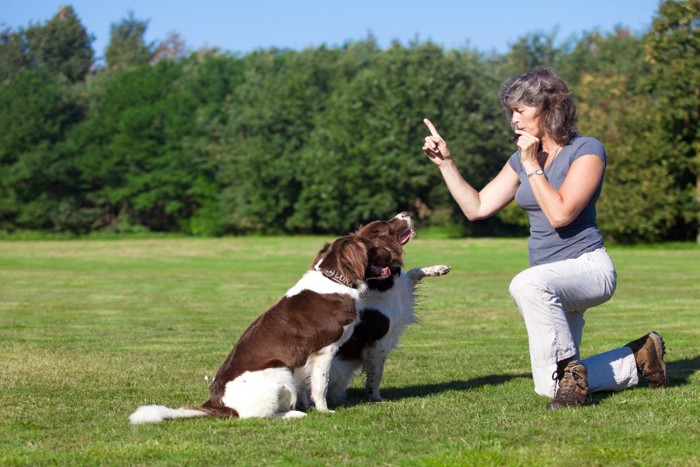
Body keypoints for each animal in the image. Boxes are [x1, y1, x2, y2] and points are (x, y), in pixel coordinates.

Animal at [129, 236, 402, 422]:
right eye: (373, 247)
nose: (394, 255)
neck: (335, 278)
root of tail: (220, 404)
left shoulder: (303, 359)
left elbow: (306, 385)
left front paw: (308, 405)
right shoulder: (325, 350)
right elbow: (320, 384)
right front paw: (324, 410)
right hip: (279, 373)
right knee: (256, 416)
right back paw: (293, 415)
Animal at [326, 213, 452, 406]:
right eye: (386, 224)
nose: (406, 213)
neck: (378, 281)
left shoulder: (402, 293)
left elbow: (413, 271)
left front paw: (438, 269)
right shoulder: (379, 343)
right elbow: (376, 374)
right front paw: (375, 397)